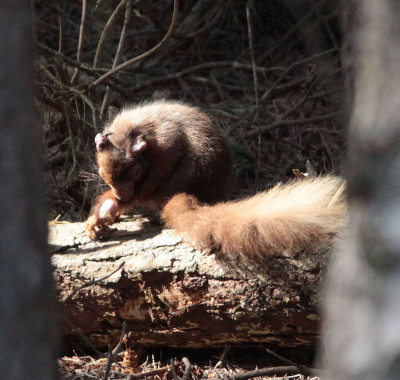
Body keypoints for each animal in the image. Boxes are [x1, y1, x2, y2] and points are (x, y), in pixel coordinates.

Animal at [85, 101, 346, 256]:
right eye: (104, 176)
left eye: (135, 173)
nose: (121, 193)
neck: (132, 132)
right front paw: (105, 211)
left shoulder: (165, 144)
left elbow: (165, 162)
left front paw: (120, 202)